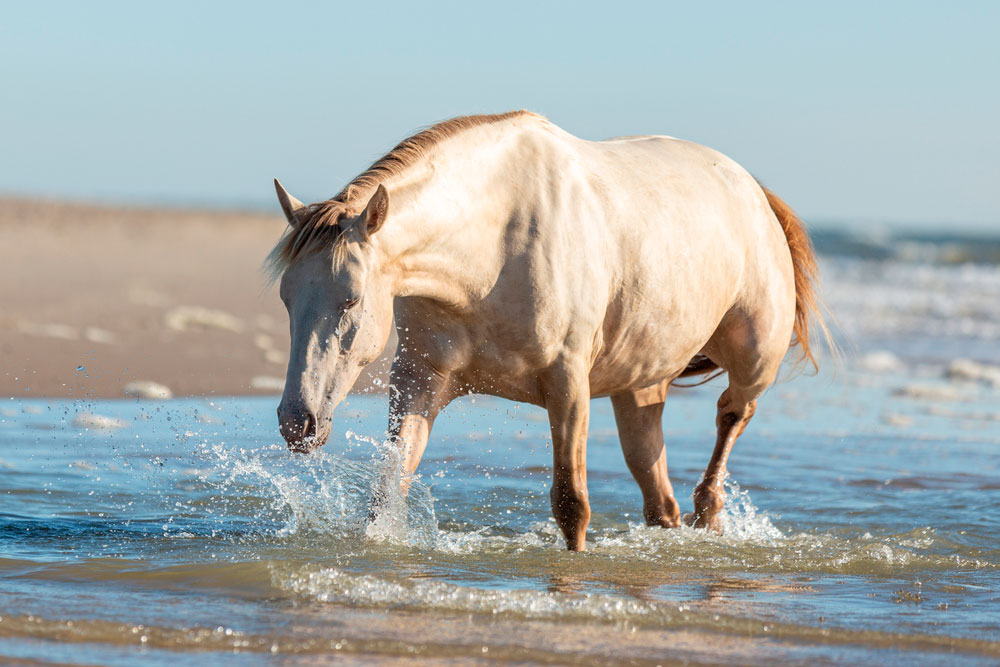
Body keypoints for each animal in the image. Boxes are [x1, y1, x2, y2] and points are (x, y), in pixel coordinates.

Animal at [268, 111, 828, 552]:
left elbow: (571, 504)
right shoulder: (418, 381)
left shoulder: (568, 386)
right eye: (286, 299)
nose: (298, 424)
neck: (493, 247)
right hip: (640, 387)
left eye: (351, 300)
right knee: (658, 498)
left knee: (730, 418)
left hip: (754, 363)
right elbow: (388, 490)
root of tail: (754, 192)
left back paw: (709, 513)